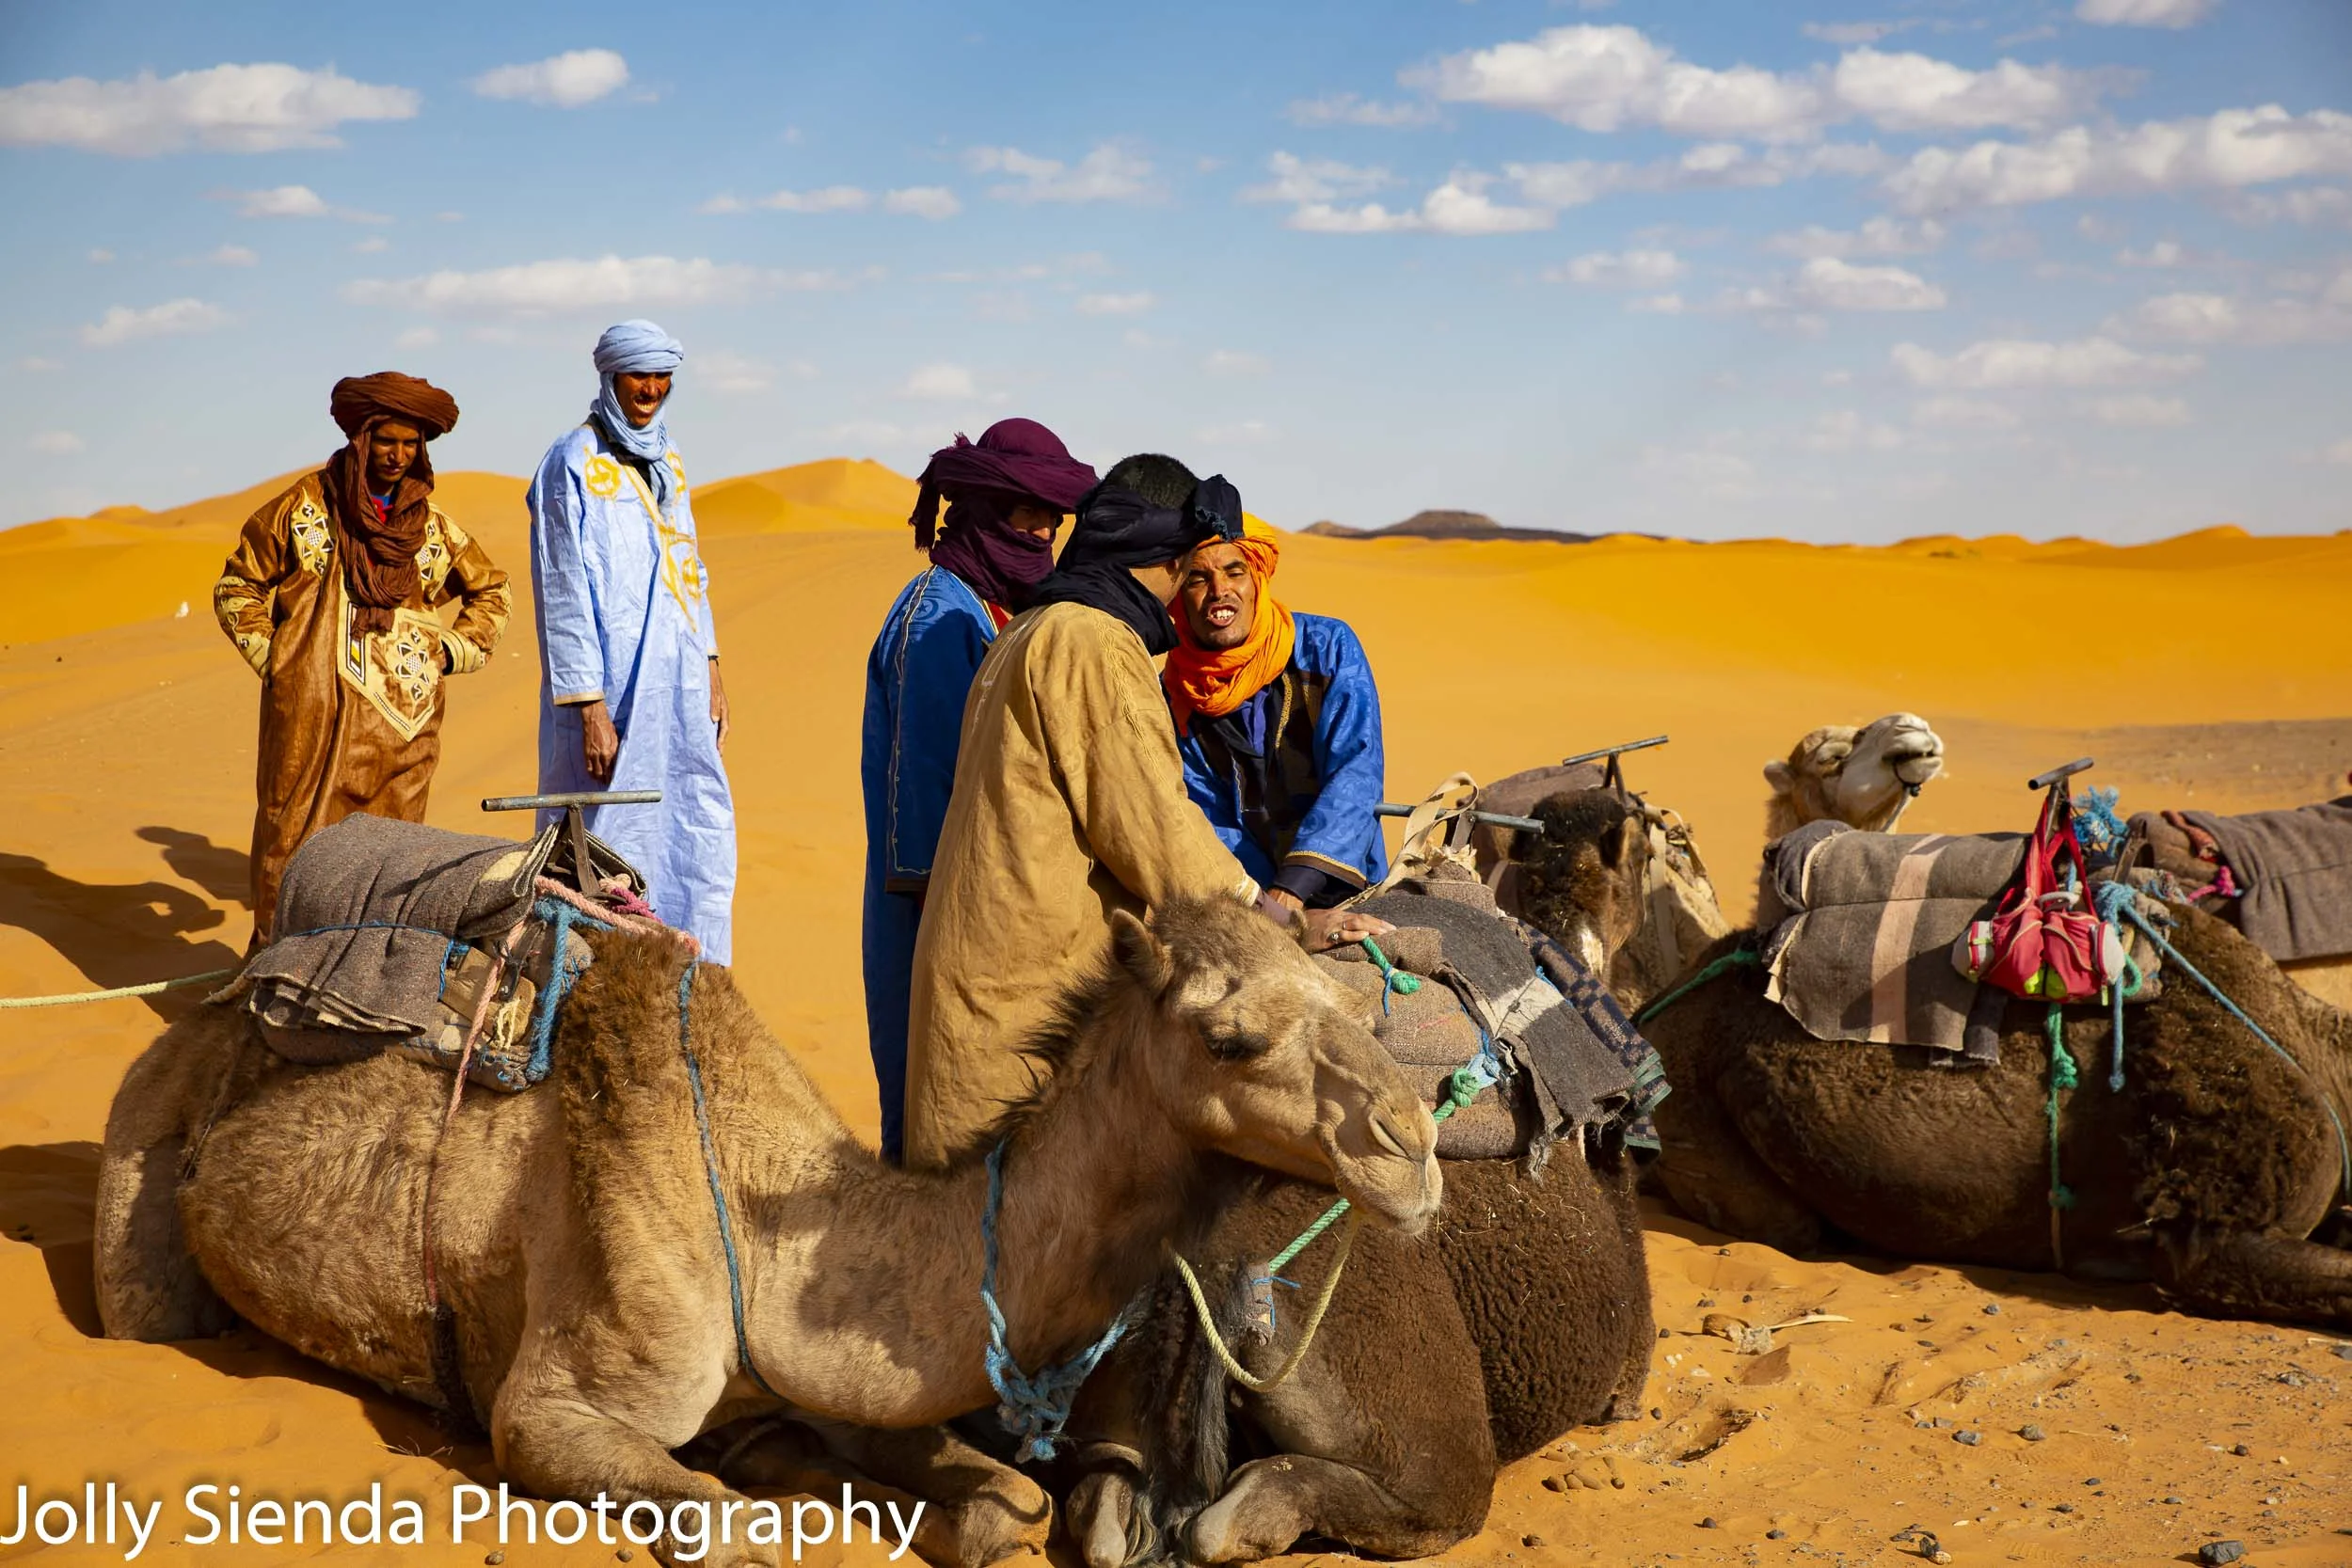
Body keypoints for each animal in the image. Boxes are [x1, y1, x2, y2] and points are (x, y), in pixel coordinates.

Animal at [95, 898, 1443, 1568]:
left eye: (1345, 984)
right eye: (1230, 1035)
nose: (1414, 1141)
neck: (767, 1222)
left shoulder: (837, 1375)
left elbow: (1005, 1497)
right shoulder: (548, 1406)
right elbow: (721, 1519)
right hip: (140, 1161)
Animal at [1060, 791, 1658, 1566]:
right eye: (1646, 850)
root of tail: (1206, 1276)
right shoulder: (1628, 1366)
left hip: (1116, 1405)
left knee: (1106, 1505)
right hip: (1415, 1427)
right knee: (1261, 1509)